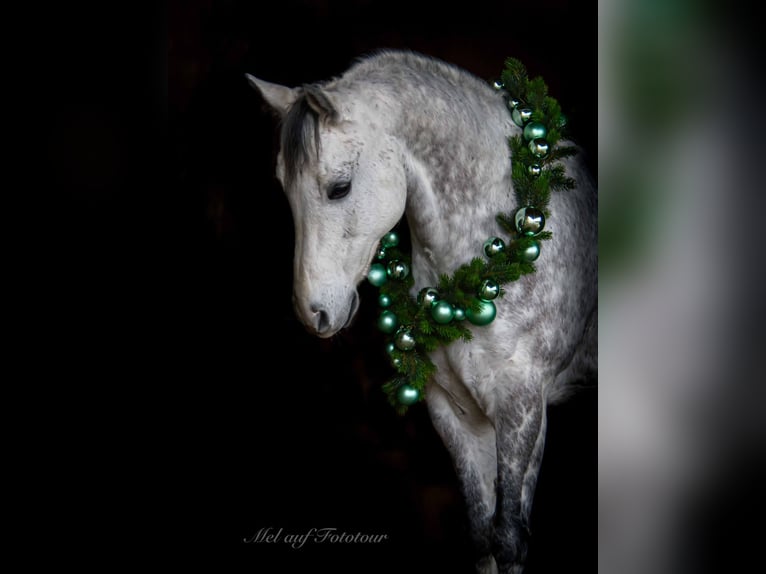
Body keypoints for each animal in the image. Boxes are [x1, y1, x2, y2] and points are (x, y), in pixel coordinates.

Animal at [249, 50, 596, 574]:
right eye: (284, 188)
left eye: (339, 188)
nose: (314, 312)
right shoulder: (455, 413)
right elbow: (483, 536)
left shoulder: (522, 411)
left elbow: (510, 537)